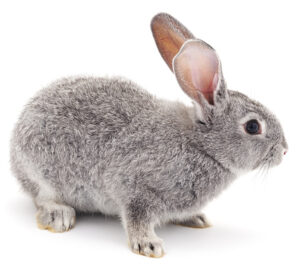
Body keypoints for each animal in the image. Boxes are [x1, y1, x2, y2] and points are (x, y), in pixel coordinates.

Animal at [9, 13, 288, 258]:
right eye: (253, 126)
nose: (285, 150)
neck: (202, 146)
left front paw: (194, 218)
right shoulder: (136, 187)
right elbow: (136, 217)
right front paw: (148, 245)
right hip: (42, 170)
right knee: (42, 197)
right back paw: (59, 215)